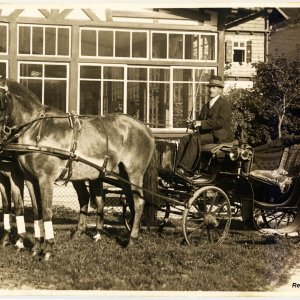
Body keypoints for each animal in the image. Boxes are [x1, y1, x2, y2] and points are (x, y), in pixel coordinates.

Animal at [0, 78, 156, 258]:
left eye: (1, 98)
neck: (36, 129)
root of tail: (145, 128)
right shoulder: (30, 179)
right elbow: (37, 211)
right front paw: (36, 247)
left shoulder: (45, 179)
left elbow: (46, 211)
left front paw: (48, 248)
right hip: (121, 175)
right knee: (124, 200)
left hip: (134, 173)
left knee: (138, 202)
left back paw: (132, 239)